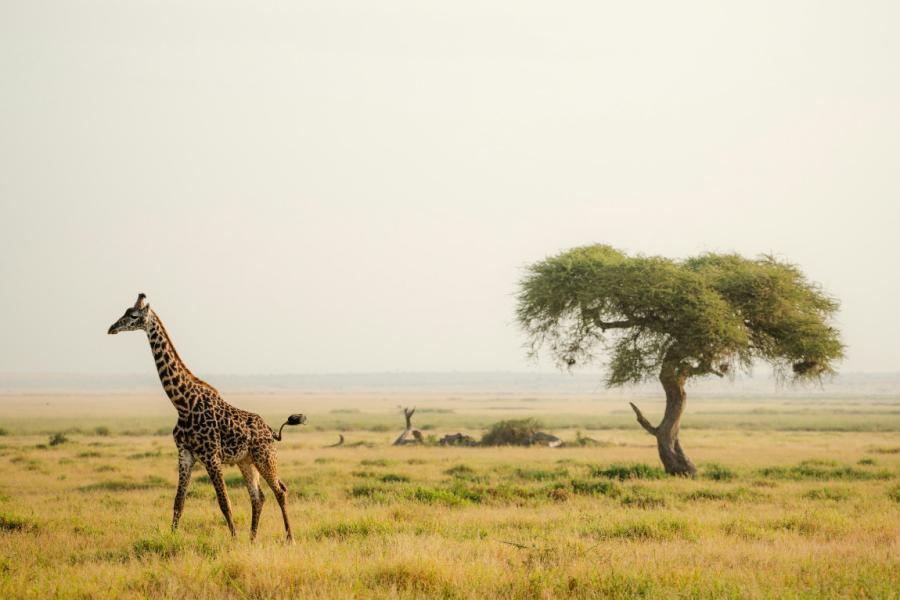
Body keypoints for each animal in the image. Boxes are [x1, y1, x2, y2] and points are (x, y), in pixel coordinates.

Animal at [108, 293, 305, 541]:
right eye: (124, 311)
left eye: (133, 315)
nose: (111, 328)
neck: (183, 403)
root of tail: (270, 430)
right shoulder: (185, 453)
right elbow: (178, 501)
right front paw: (172, 537)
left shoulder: (211, 456)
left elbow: (224, 502)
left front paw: (233, 540)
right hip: (245, 461)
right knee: (258, 496)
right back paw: (252, 539)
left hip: (265, 456)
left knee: (280, 491)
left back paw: (289, 539)